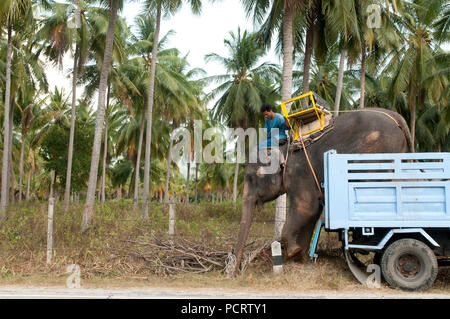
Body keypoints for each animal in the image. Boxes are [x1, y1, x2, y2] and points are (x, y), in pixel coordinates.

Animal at [234, 109, 414, 274]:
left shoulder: (300, 174)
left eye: (251, 178)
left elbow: (306, 208)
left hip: (374, 155)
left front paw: (292, 252)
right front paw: (300, 257)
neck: (283, 148)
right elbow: (313, 213)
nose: (235, 274)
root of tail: (397, 118)